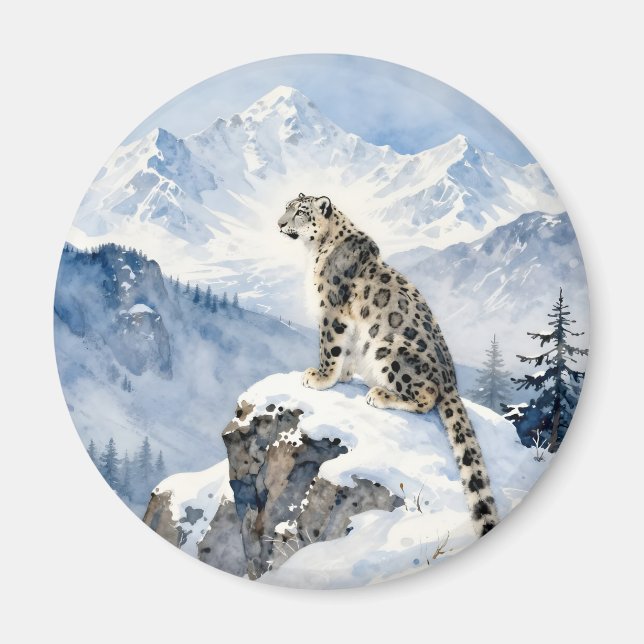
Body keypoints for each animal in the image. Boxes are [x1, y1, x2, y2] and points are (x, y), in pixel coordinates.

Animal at [277, 193, 498, 537]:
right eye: (287, 207)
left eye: (300, 211)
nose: (280, 223)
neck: (315, 251)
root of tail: (451, 379)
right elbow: (345, 350)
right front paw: (340, 375)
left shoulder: (331, 309)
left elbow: (330, 345)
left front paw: (321, 377)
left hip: (389, 348)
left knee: (427, 396)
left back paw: (380, 394)